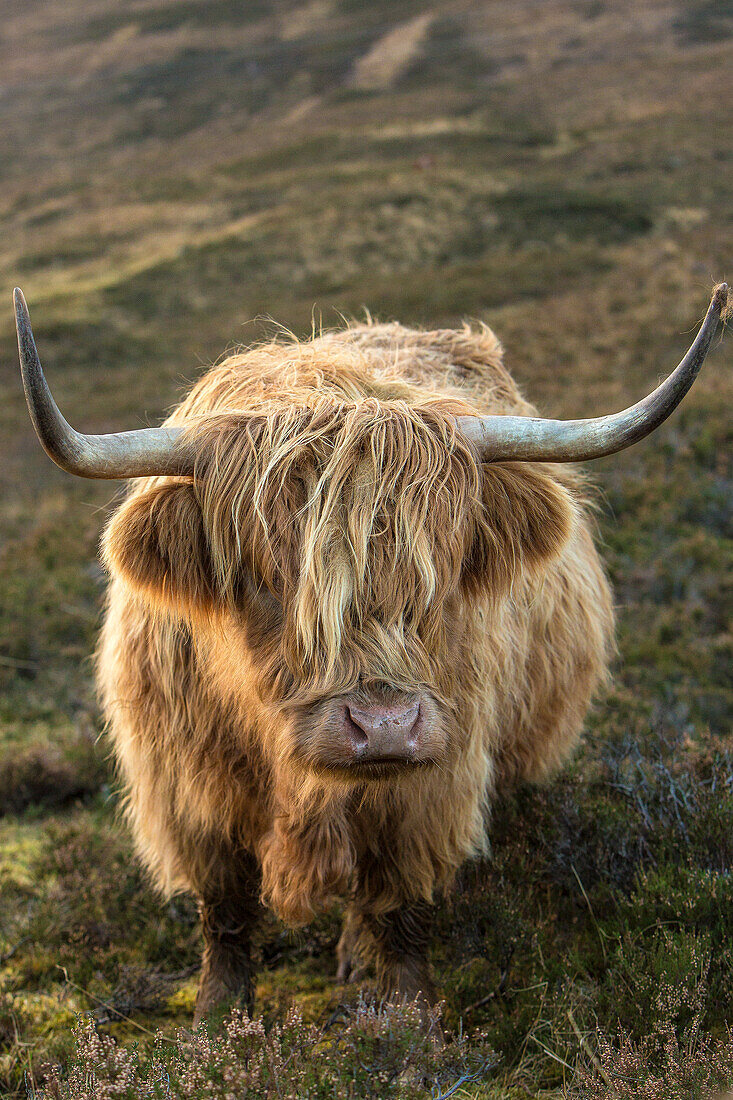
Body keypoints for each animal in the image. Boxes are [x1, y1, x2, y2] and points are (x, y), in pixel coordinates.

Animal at [12, 283, 726, 1020]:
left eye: (438, 573)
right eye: (264, 576)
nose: (383, 727)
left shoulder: (433, 782)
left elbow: (400, 904)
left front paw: (410, 1020)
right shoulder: (186, 787)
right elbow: (225, 907)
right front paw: (217, 1015)